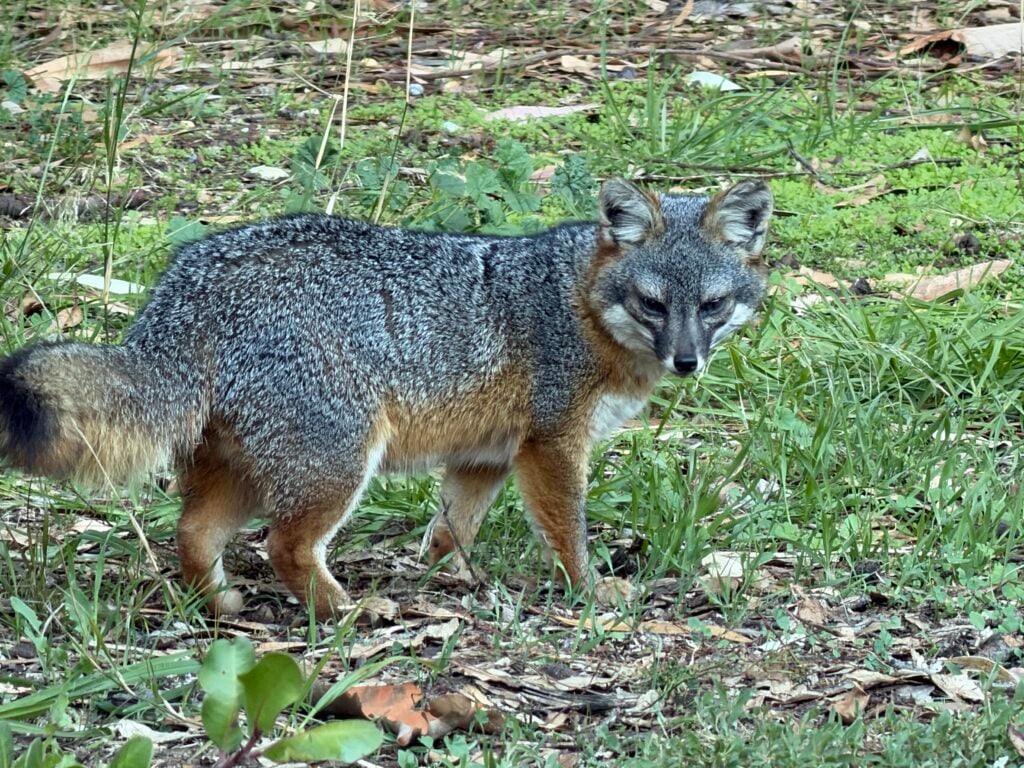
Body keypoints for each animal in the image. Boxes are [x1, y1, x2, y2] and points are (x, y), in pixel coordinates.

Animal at [0, 178, 772, 620]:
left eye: (711, 305)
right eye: (652, 304)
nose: (687, 361)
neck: (577, 301)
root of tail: (189, 281)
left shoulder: (486, 455)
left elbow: (451, 528)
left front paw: (456, 579)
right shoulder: (553, 445)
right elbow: (567, 532)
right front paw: (588, 591)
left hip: (248, 468)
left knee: (192, 534)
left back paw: (221, 603)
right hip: (338, 463)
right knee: (284, 546)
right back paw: (348, 612)